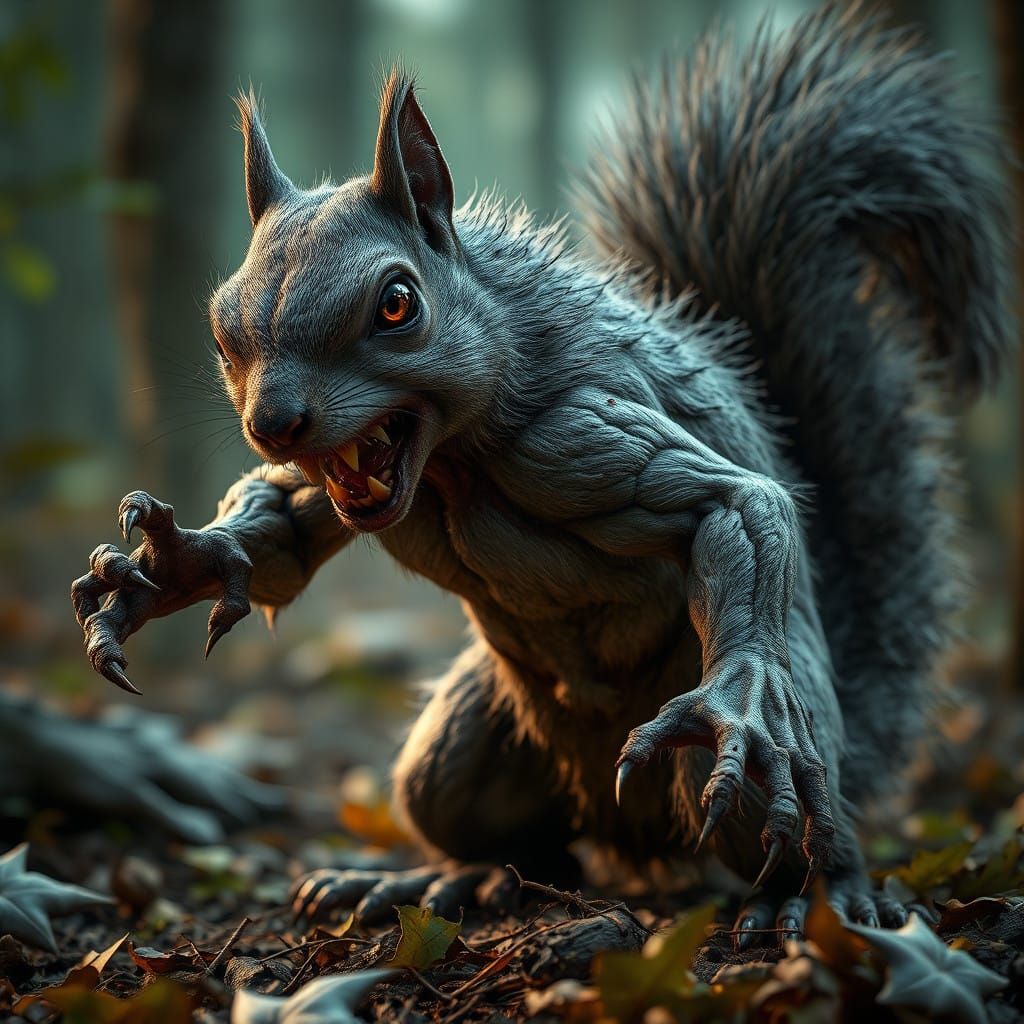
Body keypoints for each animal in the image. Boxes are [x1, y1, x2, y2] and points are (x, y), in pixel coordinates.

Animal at [72, 3, 1012, 943]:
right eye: (222, 325)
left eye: (397, 304)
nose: (272, 423)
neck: (448, 465)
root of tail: (626, 826)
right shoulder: (333, 484)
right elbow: (285, 536)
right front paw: (173, 565)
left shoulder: (569, 434)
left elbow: (734, 505)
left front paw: (739, 695)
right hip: (458, 753)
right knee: (527, 845)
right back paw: (430, 880)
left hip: (759, 766)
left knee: (785, 832)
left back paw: (812, 895)